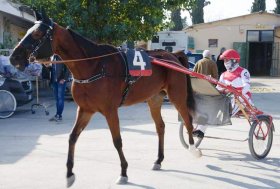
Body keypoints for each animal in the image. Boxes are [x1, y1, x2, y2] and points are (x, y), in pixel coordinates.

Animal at [9, 9, 201, 188]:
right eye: (28, 30)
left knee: (188, 120)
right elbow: (72, 137)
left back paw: (194, 148)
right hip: (154, 99)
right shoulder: (85, 110)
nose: (14, 57)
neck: (94, 66)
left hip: (177, 96)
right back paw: (159, 160)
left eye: (37, 34)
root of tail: (174, 55)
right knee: (160, 127)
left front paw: (123, 172)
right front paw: (69, 174)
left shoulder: (110, 111)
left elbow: (117, 141)